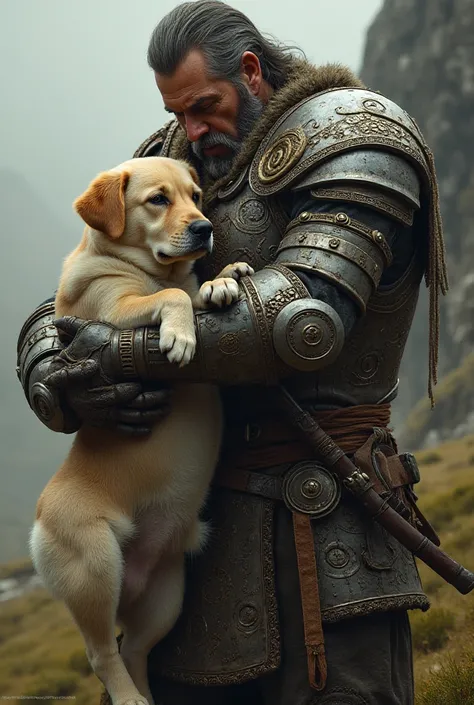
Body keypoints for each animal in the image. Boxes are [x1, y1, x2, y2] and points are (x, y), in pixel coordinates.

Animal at [28, 158, 252, 704]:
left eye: (196, 196)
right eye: (158, 199)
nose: (204, 228)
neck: (144, 267)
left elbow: (194, 289)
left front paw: (224, 280)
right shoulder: (117, 310)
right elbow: (173, 296)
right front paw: (180, 334)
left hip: (165, 596)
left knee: (131, 651)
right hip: (93, 568)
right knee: (101, 655)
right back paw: (129, 697)